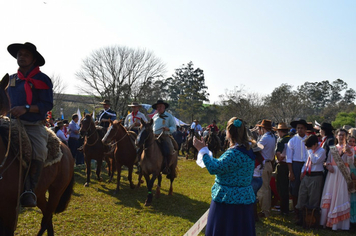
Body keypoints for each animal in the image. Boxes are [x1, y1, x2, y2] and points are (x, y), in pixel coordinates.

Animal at [0, 74, 74, 236]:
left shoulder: (10, 210)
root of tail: (65, 148)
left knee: (46, 218)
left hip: (56, 191)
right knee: (47, 215)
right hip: (40, 193)